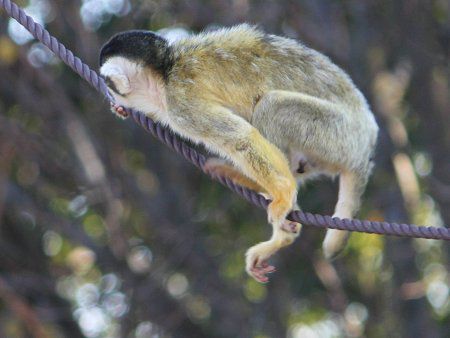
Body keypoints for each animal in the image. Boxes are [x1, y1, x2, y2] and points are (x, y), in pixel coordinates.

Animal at [100, 24, 378, 282]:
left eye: (108, 83)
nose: (110, 92)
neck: (165, 71)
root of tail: (366, 146)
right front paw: (120, 110)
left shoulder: (180, 103)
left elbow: (240, 138)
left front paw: (283, 195)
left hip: (340, 136)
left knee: (272, 108)